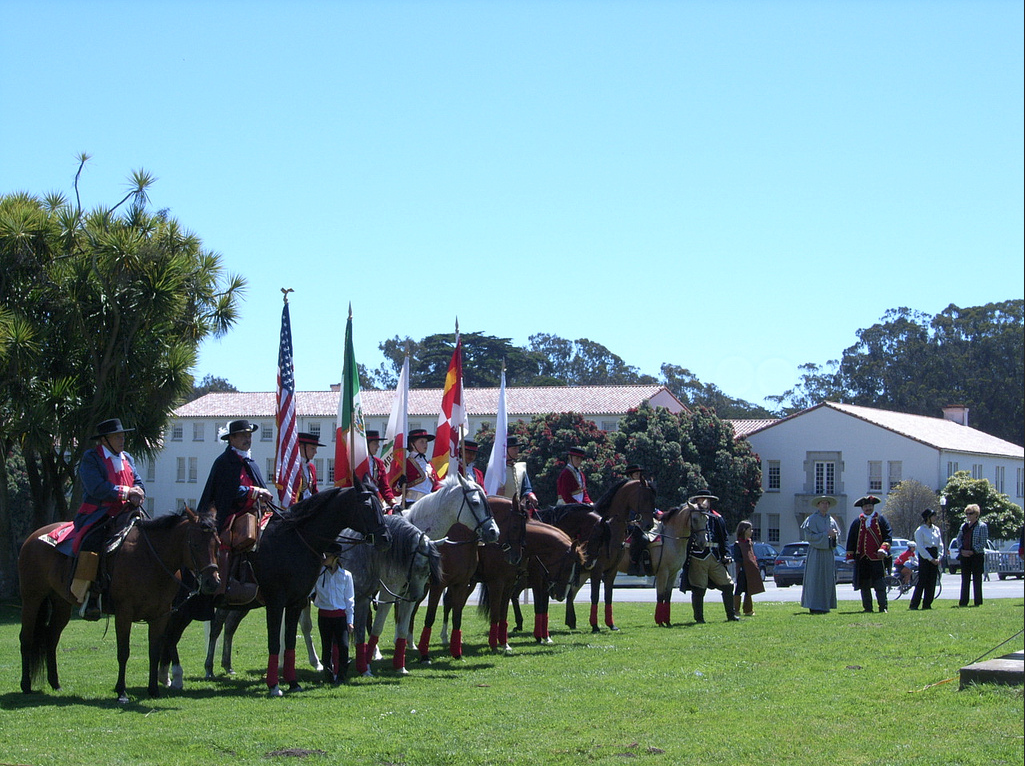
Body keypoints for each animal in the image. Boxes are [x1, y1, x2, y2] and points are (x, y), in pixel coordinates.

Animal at [18, 506, 218, 705]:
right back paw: (26, 685)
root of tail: (33, 536)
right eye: (195, 545)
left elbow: (154, 651)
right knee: (26, 638)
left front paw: (153, 690)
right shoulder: (124, 613)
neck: (150, 559)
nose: (212, 582)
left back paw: (55, 683)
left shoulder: (161, 615)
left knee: (51, 638)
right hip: (32, 599)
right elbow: (123, 652)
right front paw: (121, 691)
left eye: (217, 543)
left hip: (62, 604)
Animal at [159, 488, 387, 697]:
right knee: (179, 633)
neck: (294, 540)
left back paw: (173, 674)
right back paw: (182, 674)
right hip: (187, 606)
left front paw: (293, 682)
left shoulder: (296, 602)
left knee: (199, 630)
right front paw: (274, 685)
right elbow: (275, 642)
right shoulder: (276, 602)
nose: (385, 537)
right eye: (368, 507)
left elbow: (291, 641)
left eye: (381, 506)